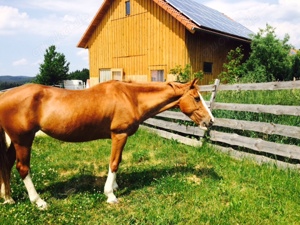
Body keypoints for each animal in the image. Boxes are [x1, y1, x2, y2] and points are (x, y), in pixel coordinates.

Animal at [0, 79, 213, 209]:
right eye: (196, 98)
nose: (210, 122)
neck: (131, 97)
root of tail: (4, 95)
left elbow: (117, 162)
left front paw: (115, 186)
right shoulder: (119, 135)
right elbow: (114, 163)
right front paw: (110, 194)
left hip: (14, 142)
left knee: (6, 166)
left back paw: (8, 198)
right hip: (23, 140)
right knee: (22, 168)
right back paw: (38, 201)